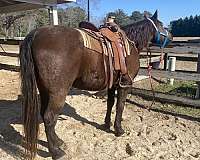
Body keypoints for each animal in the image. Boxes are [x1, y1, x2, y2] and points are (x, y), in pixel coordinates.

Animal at [19, 10, 171, 159]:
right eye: (162, 25)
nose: (171, 37)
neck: (130, 44)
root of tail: (35, 33)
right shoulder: (125, 84)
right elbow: (120, 106)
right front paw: (119, 130)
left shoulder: (112, 85)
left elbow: (110, 104)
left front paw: (106, 124)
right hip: (58, 93)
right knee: (49, 118)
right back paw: (56, 152)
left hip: (44, 90)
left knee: (44, 115)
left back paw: (58, 141)